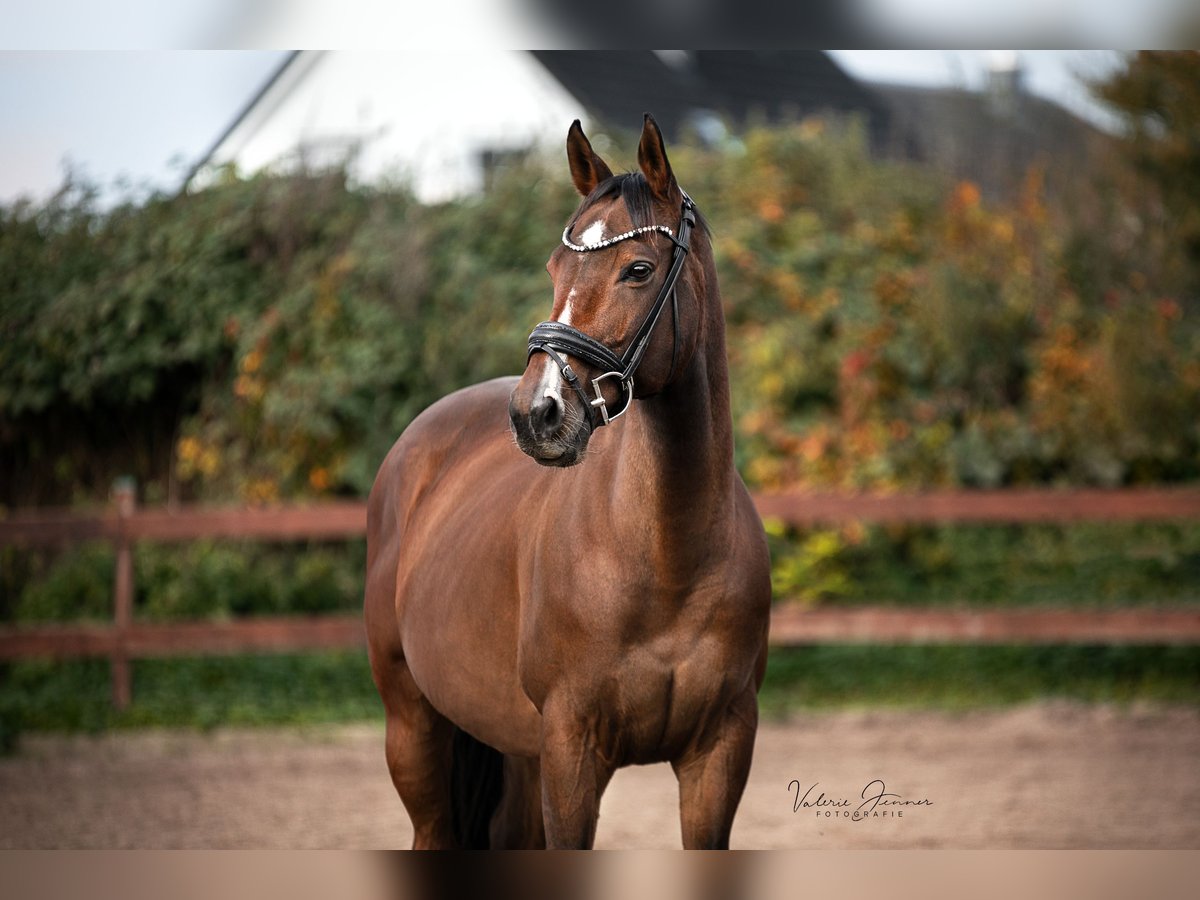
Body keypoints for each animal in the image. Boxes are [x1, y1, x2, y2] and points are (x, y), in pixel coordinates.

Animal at [364, 116, 772, 849]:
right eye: (555, 268)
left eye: (638, 269)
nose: (537, 413)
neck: (667, 557)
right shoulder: (571, 753)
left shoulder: (720, 754)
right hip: (413, 727)